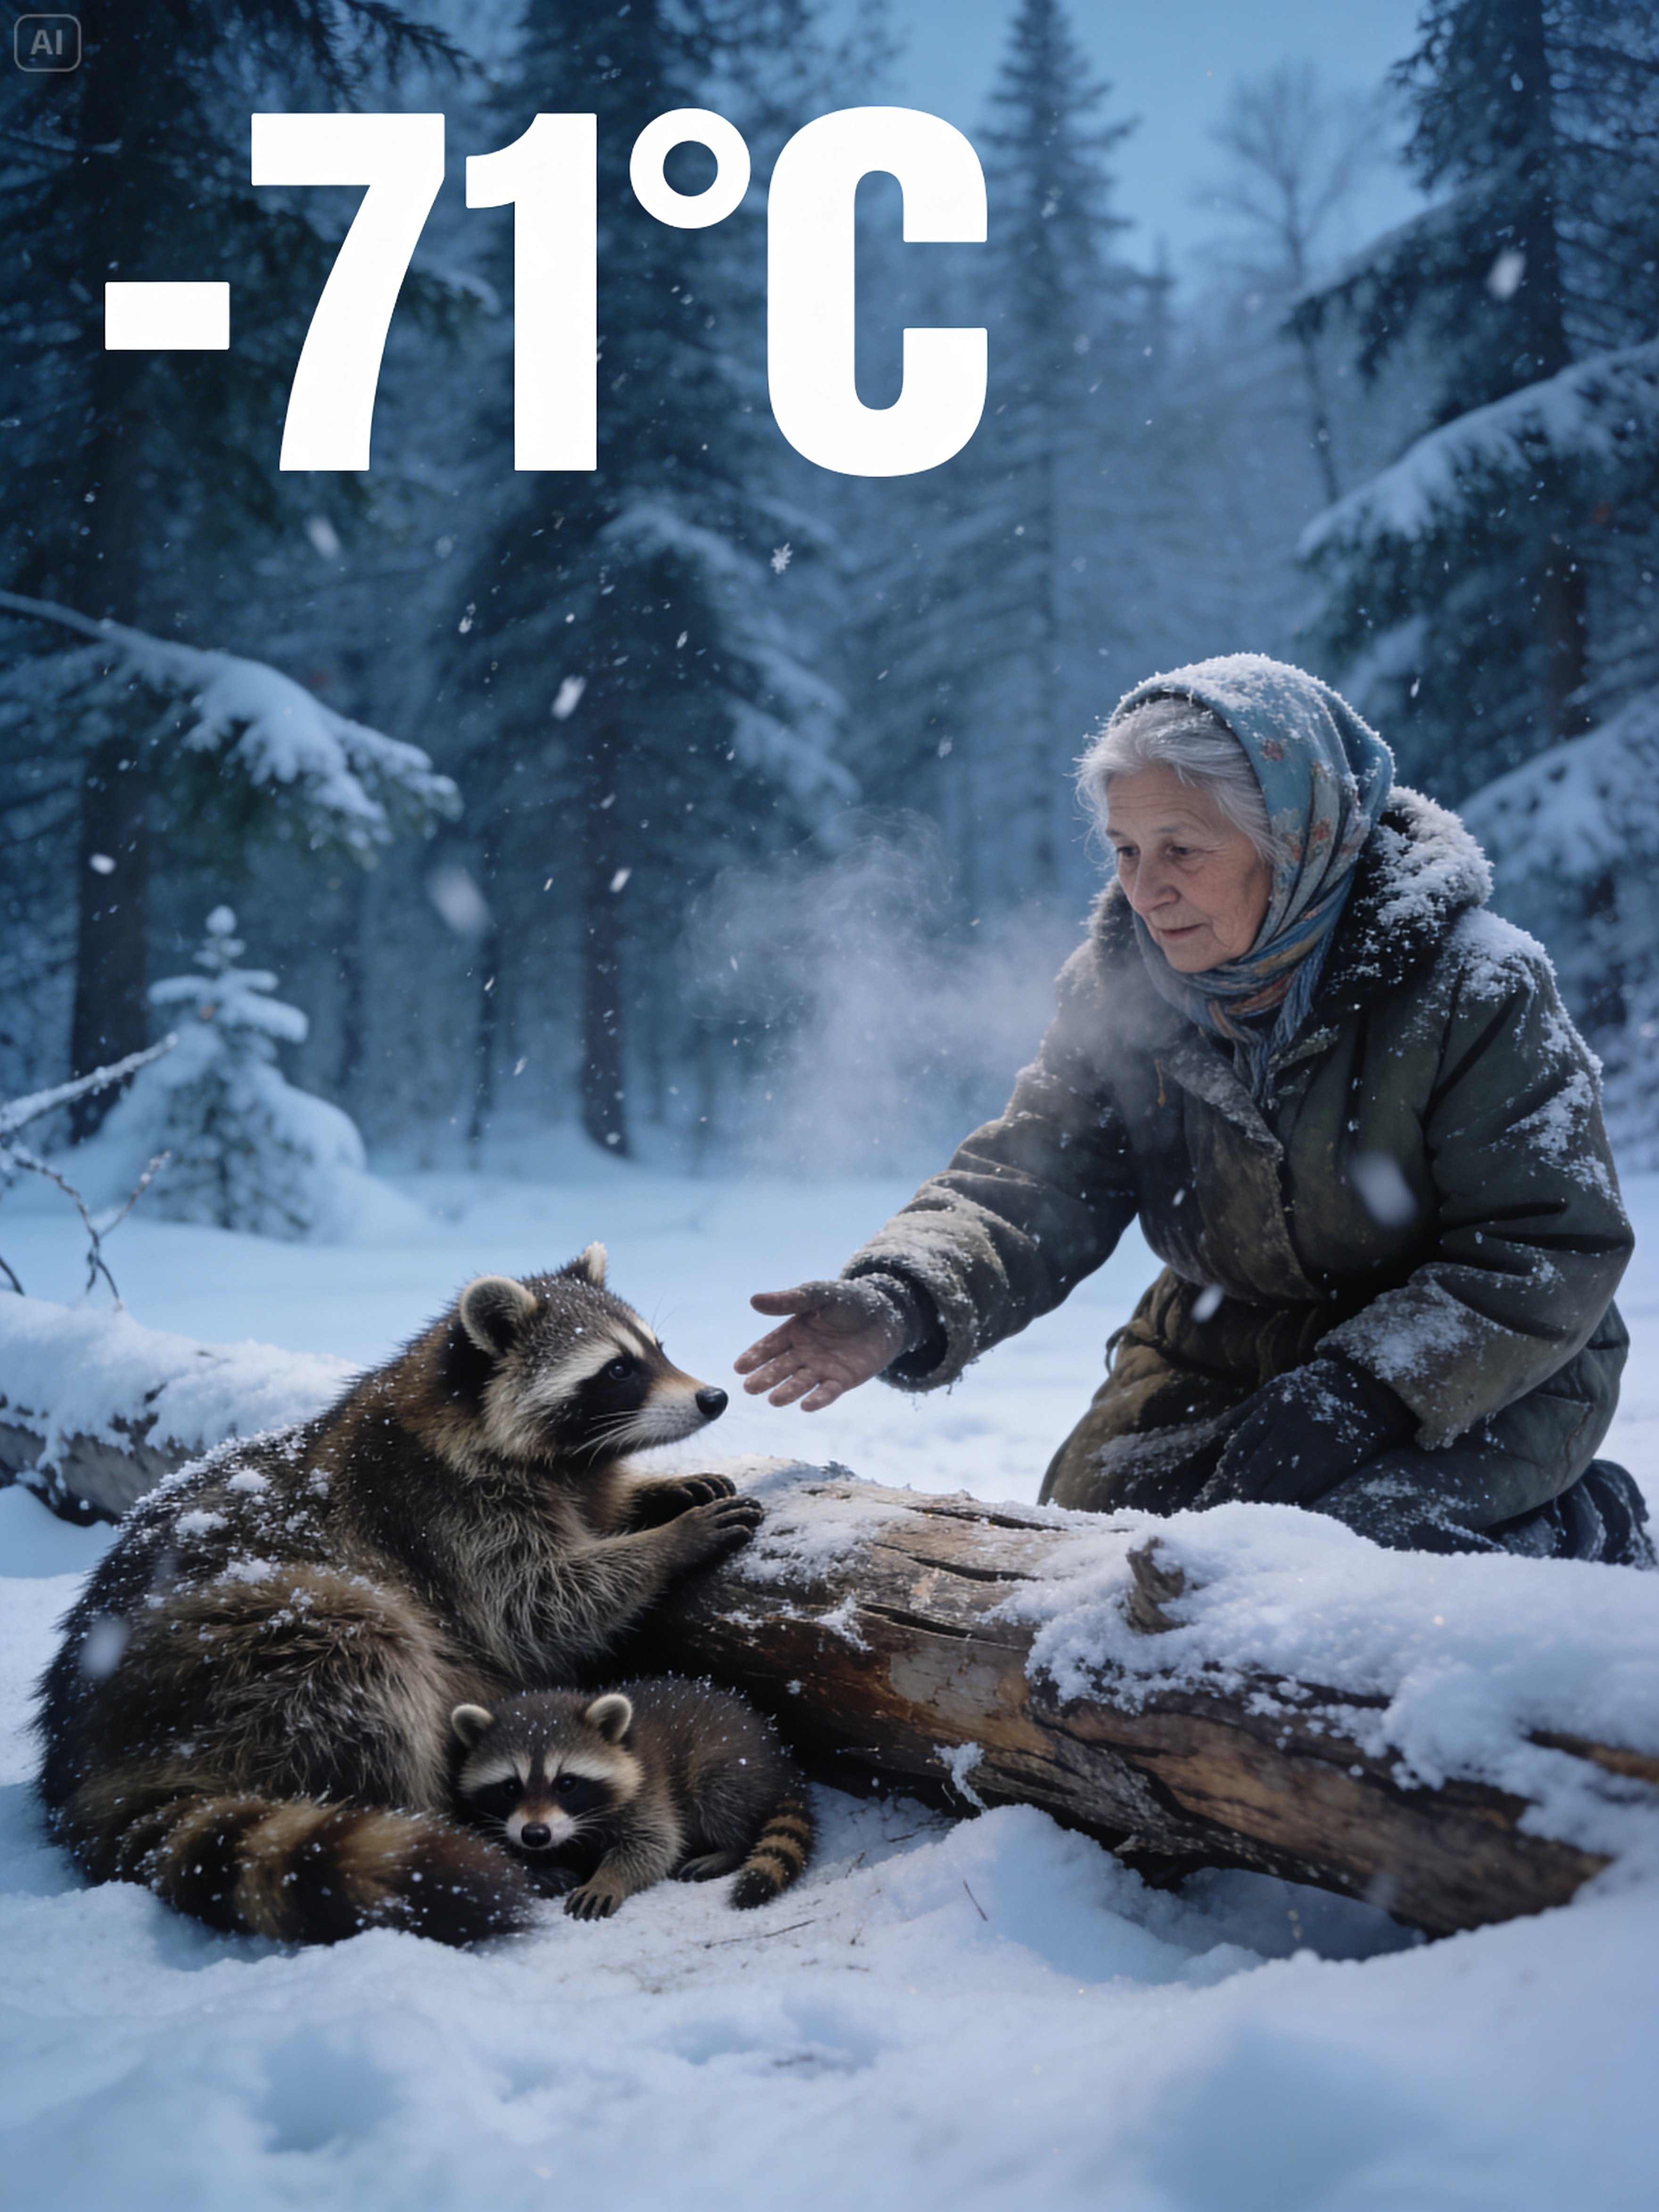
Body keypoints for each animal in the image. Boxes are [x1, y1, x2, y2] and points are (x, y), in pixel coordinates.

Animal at [34, 1246, 761, 1948]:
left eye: (657, 1348)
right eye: (616, 1370)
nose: (715, 1398)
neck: (460, 1412)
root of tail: (95, 1762)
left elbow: (592, 1526)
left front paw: (657, 1495)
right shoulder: (443, 1514)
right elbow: (540, 1605)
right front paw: (670, 1541)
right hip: (262, 1644)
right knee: (371, 1667)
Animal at [451, 1680, 813, 1917]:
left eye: (567, 1783)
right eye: (511, 1787)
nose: (536, 1835)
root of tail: (785, 1762)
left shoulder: (648, 1789)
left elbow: (654, 1843)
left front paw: (609, 1878)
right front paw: (532, 1866)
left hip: (728, 1763)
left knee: (719, 1796)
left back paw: (729, 1849)